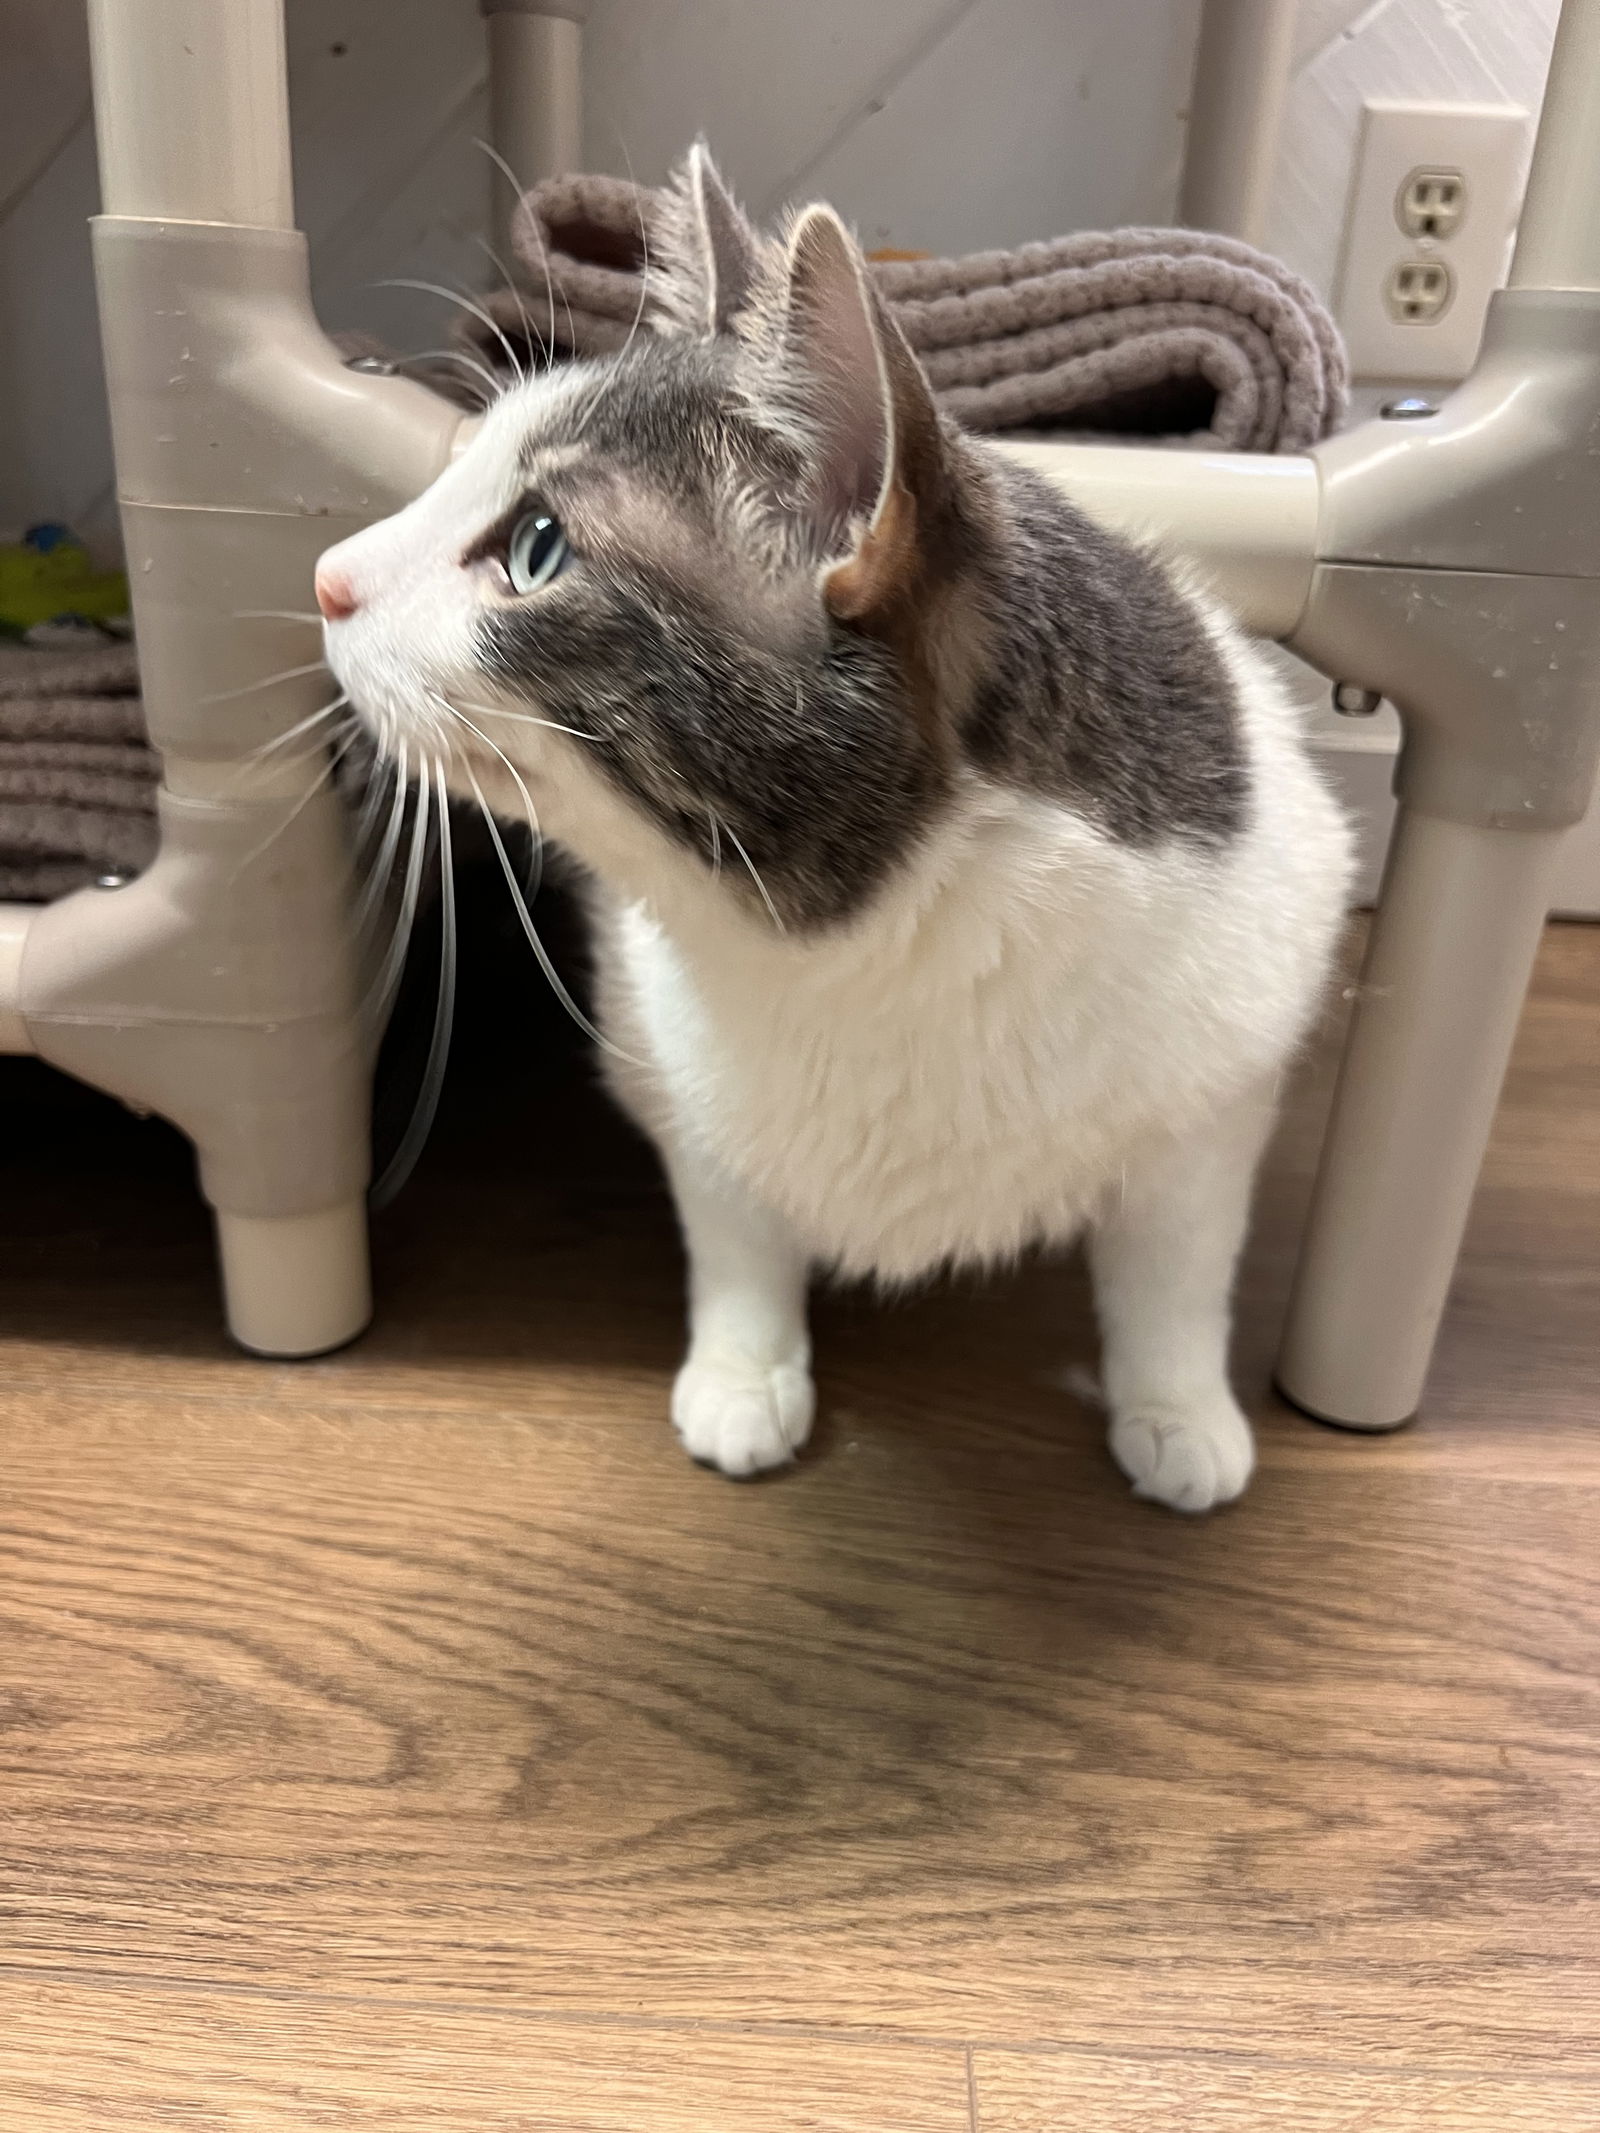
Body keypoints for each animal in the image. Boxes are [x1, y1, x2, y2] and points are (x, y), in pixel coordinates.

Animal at [320, 150, 1356, 1510]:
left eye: (536, 548)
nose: (327, 575)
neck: (861, 945)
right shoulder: (672, 1063)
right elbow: (733, 1224)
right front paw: (745, 1374)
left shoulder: (1217, 1092)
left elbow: (1176, 1268)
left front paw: (1179, 1409)